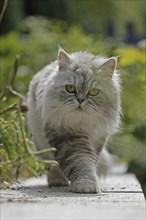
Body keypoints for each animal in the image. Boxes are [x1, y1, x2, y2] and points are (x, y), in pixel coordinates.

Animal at [26, 48, 121, 192]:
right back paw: (57, 181)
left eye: (94, 92)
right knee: (52, 165)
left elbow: (88, 163)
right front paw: (85, 185)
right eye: (70, 89)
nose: (80, 100)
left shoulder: (98, 139)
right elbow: (80, 163)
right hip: (41, 142)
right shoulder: (67, 137)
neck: (82, 123)